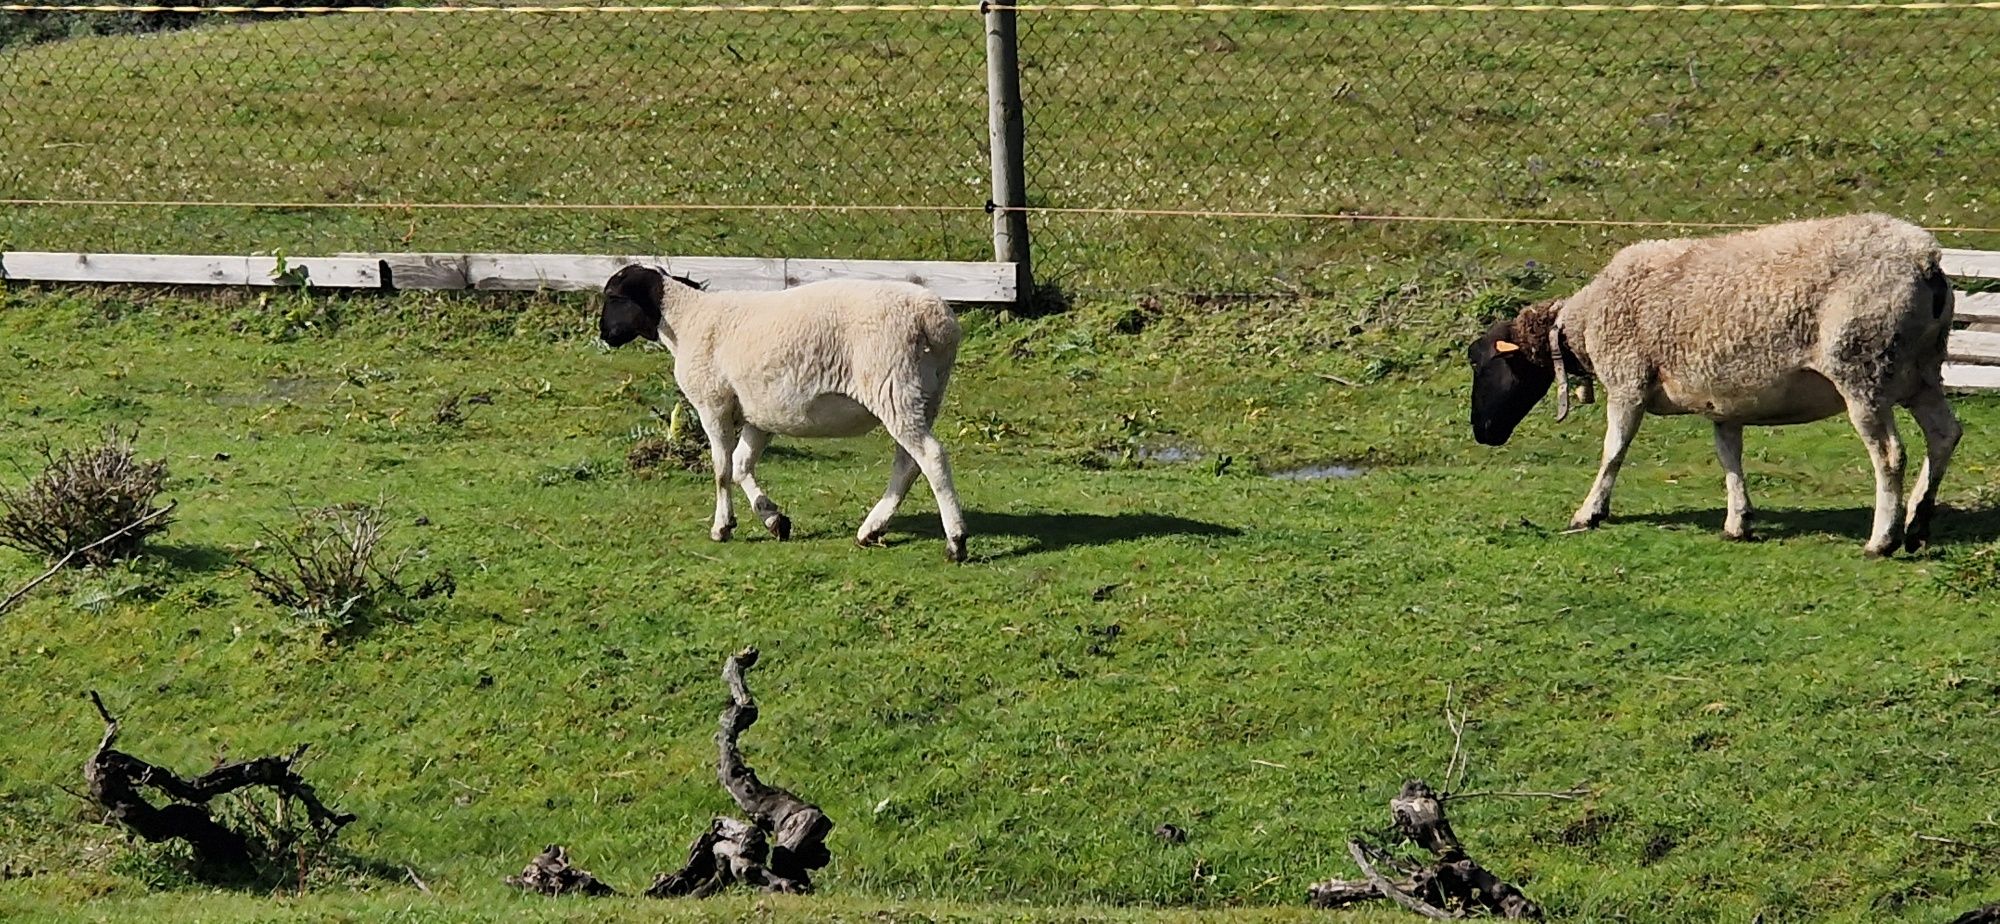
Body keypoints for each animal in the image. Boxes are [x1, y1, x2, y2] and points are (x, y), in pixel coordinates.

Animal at [592, 264, 968, 560]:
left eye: (613, 296)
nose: (604, 334)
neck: (687, 322)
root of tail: (936, 321)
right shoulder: (759, 415)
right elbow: (741, 465)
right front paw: (774, 520)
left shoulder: (713, 403)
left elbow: (721, 469)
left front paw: (721, 526)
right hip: (923, 395)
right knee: (908, 464)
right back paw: (871, 529)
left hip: (893, 385)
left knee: (931, 457)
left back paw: (956, 541)